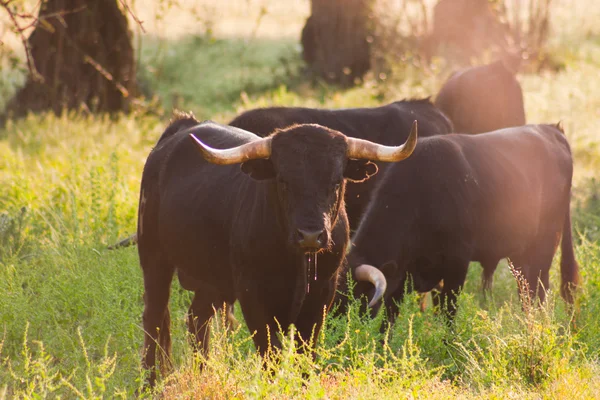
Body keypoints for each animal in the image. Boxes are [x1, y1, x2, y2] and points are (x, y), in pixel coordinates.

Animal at [137, 111, 418, 386]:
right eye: (283, 181)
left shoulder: (321, 296)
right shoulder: (252, 295)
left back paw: (201, 374)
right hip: (153, 256)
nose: (310, 235)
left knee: (197, 317)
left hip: (213, 278)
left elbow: (306, 353)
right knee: (154, 317)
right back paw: (149, 382)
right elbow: (269, 353)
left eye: (336, 182)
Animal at [344, 123, 580, 324]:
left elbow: (448, 314)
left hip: (545, 247)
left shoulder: (457, 265)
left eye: (355, 297)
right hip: (519, 254)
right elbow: (390, 322)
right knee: (526, 293)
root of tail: (551, 130)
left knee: (538, 292)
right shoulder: (403, 277)